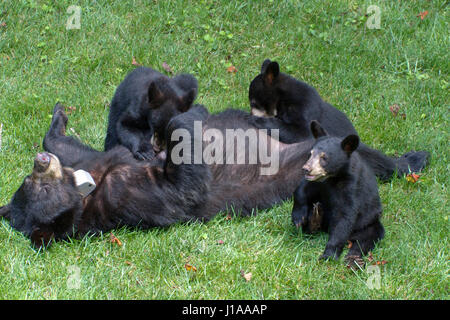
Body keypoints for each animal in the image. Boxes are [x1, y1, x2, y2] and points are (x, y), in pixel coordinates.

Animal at [1, 104, 314, 246]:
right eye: (42, 191)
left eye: (28, 181)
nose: (40, 163)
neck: (87, 190)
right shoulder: (126, 192)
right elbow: (183, 186)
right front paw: (184, 119)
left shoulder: (94, 161)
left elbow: (68, 147)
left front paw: (58, 119)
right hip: (291, 166)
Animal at [292, 121, 384, 266]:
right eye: (310, 154)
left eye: (324, 157)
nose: (306, 169)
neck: (333, 178)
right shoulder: (319, 182)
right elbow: (302, 189)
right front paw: (298, 217)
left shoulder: (352, 187)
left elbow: (344, 216)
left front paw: (328, 255)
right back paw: (315, 218)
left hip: (369, 222)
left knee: (367, 239)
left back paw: (353, 259)